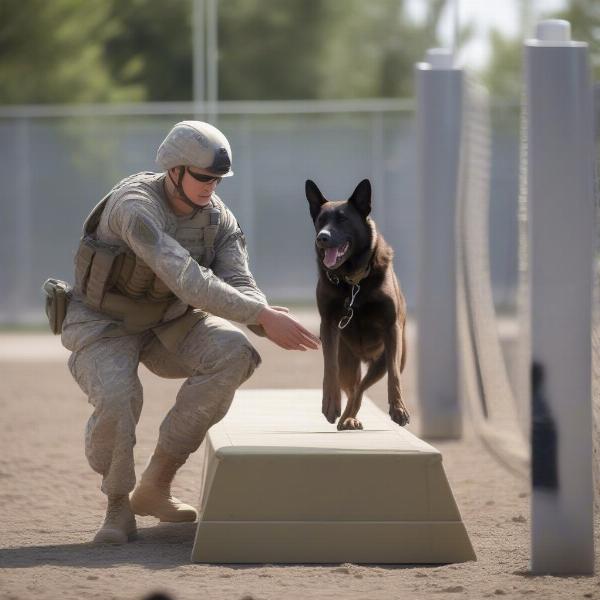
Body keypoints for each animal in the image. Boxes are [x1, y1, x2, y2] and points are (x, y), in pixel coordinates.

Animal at [304, 178, 408, 432]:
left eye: (343, 219)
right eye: (321, 220)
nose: (321, 237)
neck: (352, 281)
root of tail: (365, 356)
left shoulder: (391, 330)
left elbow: (394, 377)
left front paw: (398, 409)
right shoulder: (329, 325)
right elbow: (329, 367)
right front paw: (330, 403)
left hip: (384, 359)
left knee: (362, 387)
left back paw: (349, 418)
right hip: (348, 361)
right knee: (353, 387)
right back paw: (346, 417)